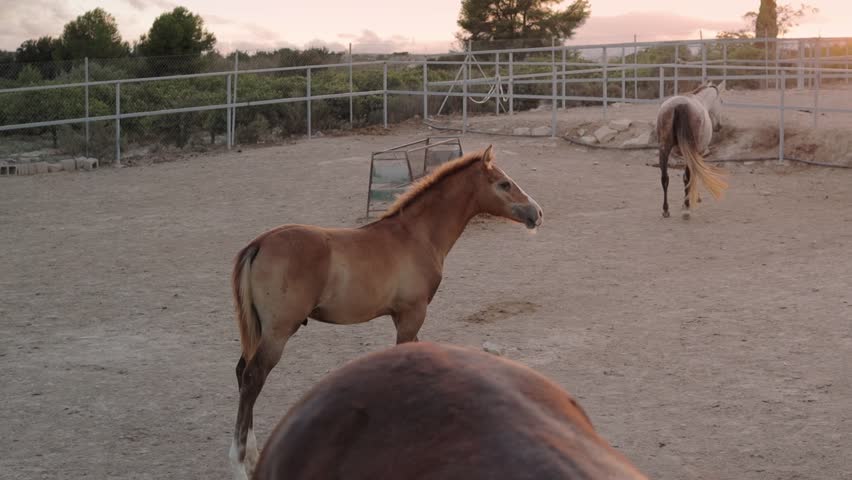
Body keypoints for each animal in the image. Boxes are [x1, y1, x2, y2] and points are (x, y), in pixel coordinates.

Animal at [230, 147, 544, 480]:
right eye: (504, 183)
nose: (537, 213)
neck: (417, 235)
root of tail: (259, 243)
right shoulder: (412, 314)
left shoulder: (403, 316)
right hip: (278, 331)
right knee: (253, 377)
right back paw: (239, 465)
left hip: (260, 330)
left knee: (242, 373)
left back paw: (253, 456)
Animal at [656, 81, 728, 219]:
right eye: (721, 101)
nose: (720, 126)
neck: (702, 101)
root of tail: (679, 105)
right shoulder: (699, 152)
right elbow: (694, 174)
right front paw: (695, 198)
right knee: (687, 177)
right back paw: (686, 207)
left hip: (664, 149)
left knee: (664, 178)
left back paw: (666, 209)